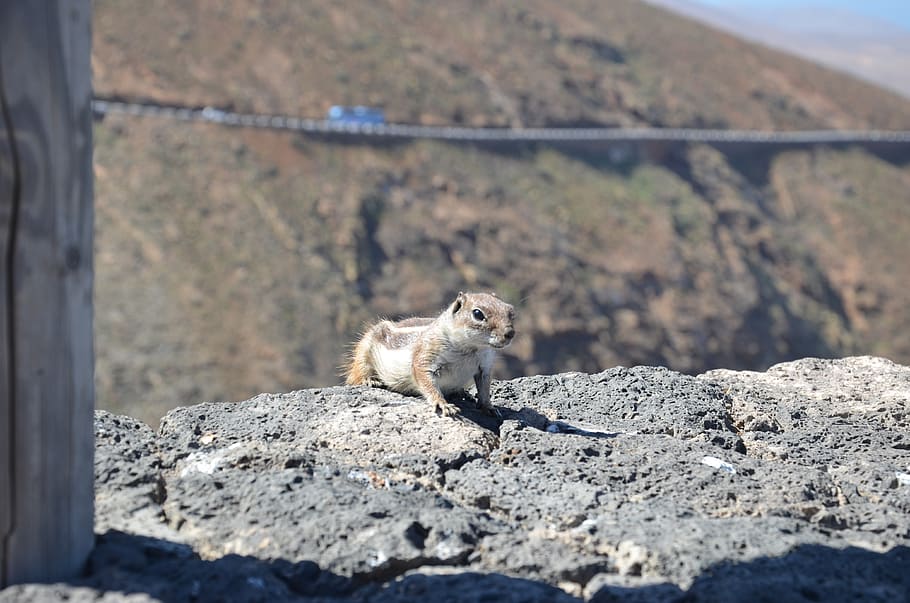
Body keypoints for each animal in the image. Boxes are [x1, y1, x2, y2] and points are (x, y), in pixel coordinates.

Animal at [345, 292, 516, 417]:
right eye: (478, 314)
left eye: (510, 311)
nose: (510, 333)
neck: (471, 349)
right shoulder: (427, 354)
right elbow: (426, 380)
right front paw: (442, 403)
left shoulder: (485, 365)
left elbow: (485, 388)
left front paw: (489, 407)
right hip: (365, 348)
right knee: (357, 372)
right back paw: (369, 379)